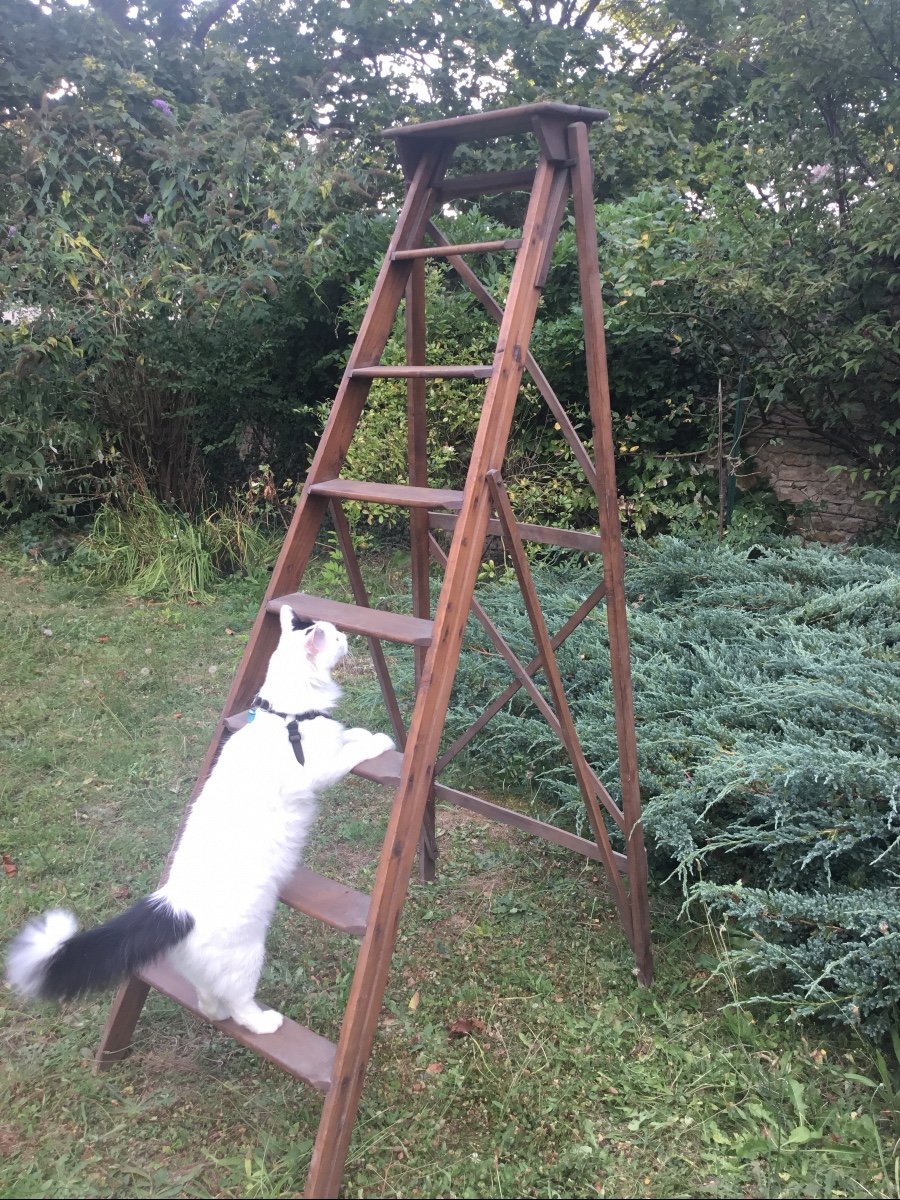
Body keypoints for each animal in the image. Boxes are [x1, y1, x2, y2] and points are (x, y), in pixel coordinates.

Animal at [6, 604, 393, 1036]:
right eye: (336, 637)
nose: (347, 637)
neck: (287, 715)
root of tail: (172, 907)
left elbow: (348, 735)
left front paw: (361, 732)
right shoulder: (316, 772)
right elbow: (352, 751)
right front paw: (380, 740)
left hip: (208, 972)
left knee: (208, 1001)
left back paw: (217, 1012)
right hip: (248, 956)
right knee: (240, 1005)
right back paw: (266, 1022)